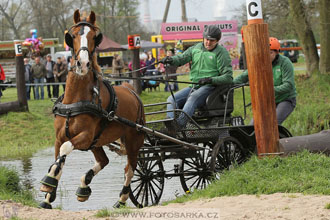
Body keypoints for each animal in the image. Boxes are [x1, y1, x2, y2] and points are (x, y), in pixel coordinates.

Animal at [39, 9, 145, 210]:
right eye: (71, 36)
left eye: (95, 37)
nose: (82, 63)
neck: (75, 100)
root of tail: (131, 89)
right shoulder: (59, 137)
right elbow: (58, 159)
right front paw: (49, 194)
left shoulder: (85, 136)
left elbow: (65, 149)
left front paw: (48, 181)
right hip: (97, 142)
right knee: (104, 161)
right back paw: (84, 186)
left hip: (133, 139)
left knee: (130, 169)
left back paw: (122, 198)